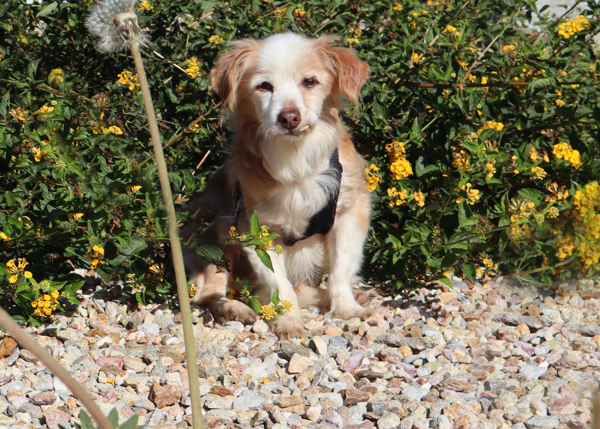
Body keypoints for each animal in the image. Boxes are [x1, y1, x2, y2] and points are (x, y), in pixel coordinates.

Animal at [183, 31, 370, 336]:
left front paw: (347, 309)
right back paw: (237, 310)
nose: (289, 117)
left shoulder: (349, 213)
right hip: (218, 233)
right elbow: (280, 286)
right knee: (209, 294)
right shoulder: (257, 231)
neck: (294, 160)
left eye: (310, 82)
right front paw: (289, 321)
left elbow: (341, 268)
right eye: (264, 86)